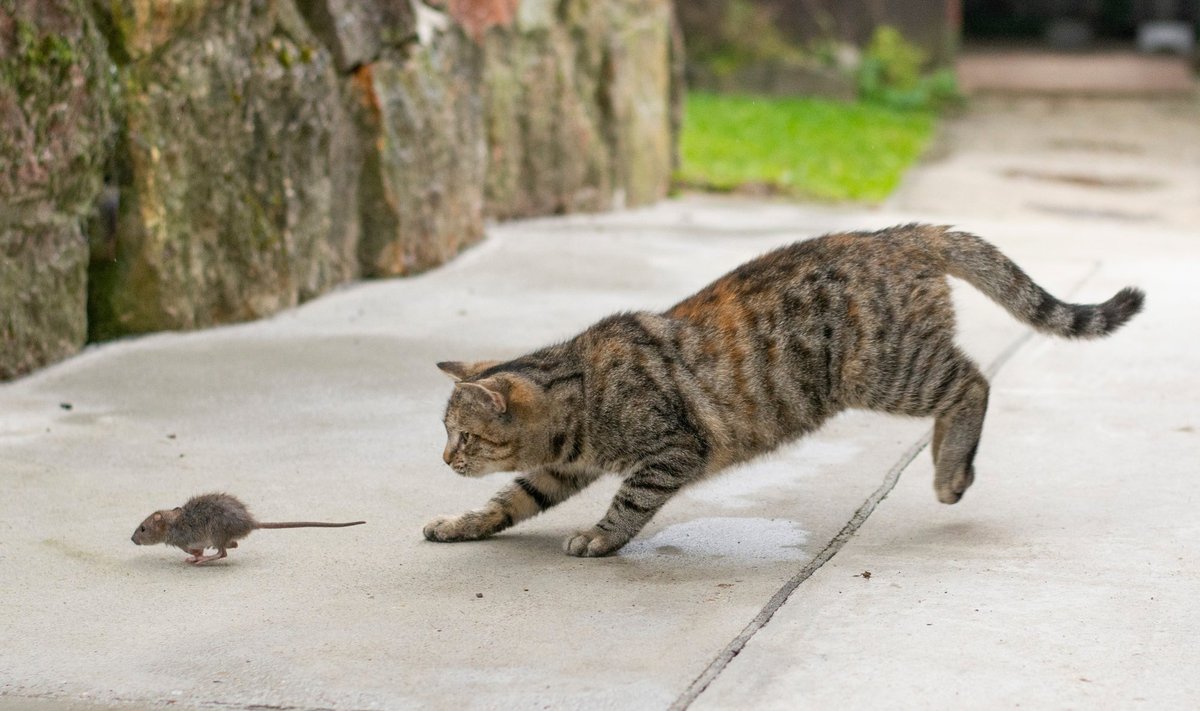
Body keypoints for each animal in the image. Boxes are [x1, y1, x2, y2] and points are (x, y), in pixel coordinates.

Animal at [424, 224, 1142, 557]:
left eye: (463, 436)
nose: (444, 458)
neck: (576, 387)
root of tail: (898, 233)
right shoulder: (559, 470)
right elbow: (508, 500)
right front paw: (461, 523)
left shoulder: (672, 449)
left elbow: (628, 503)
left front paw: (600, 538)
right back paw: (949, 464)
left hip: (887, 368)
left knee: (974, 380)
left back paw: (948, 472)